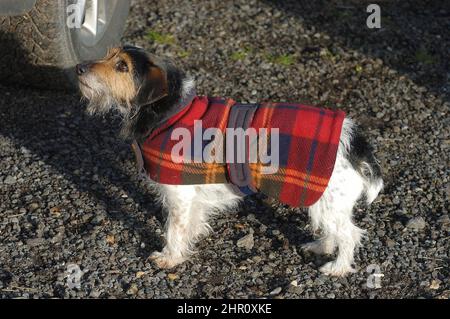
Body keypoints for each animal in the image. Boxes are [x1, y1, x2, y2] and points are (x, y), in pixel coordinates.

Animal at [76, 45, 384, 278]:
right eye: (108, 55)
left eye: (122, 66)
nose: (79, 67)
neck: (169, 111)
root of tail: (352, 138)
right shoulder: (192, 198)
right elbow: (191, 223)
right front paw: (189, 242)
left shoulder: (178, 195)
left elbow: (173, 228)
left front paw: (170, 257)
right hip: (325, 203)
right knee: (335, 231)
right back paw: (322, 246)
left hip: (327, 201)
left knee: (350, 234)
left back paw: (337, 267)